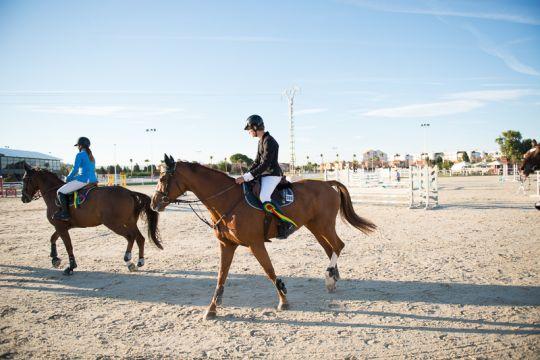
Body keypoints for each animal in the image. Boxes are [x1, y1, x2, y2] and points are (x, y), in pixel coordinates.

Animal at [20, 164, 162, 276]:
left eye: (25, 179)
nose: (23, 198)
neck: (54, 194)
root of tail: (129, 192)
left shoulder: (60, 227)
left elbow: (68, 246)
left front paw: (70, 267)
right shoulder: (62, 227)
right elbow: (53, 238)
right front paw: (55, 259)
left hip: (114, 224)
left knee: (130, 237)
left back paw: (128, 260)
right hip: (129, 222)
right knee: (139, 238)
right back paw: (139, 261)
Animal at [150, 156, 374, 320]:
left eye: (162, 179)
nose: (154, 203)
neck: (227, 199)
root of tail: (327, 183)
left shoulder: (255, 244)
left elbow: (269, 270)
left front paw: (283, 300)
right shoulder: (226, 245)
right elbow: (221, 275)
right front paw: (212, 309)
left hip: (324, 225)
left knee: (338, 245)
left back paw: (329, 278)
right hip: (315, 227)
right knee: (330, 249)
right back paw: (332, 279)